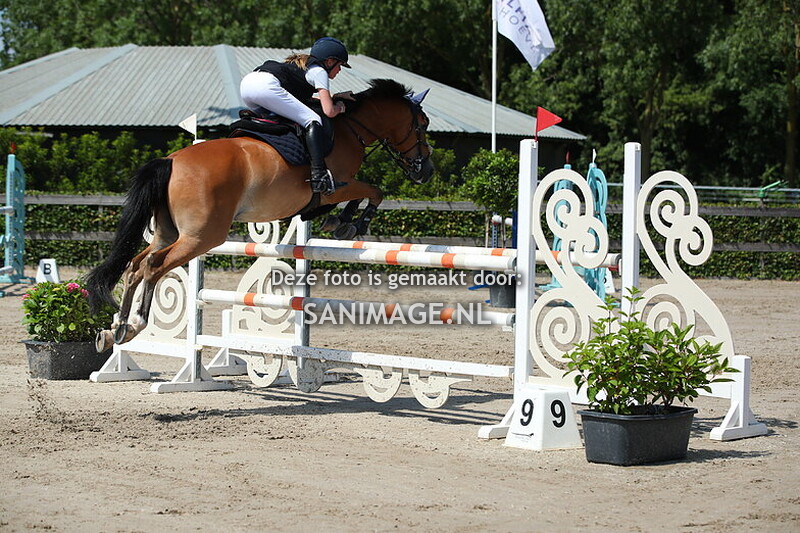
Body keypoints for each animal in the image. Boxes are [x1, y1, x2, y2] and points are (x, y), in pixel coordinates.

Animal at [87, 78, 434, 352]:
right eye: (423, 125)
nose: (426, 172)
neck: (350, 128)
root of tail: (170, 161)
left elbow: (363, 195)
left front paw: (340, 222)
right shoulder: (337, 187)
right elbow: (374, 191)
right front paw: (351, 224)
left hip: (167, 233)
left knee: (134, 265)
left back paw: (116, 330)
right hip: (201, 237)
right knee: (153, 265)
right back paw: (135, 325)